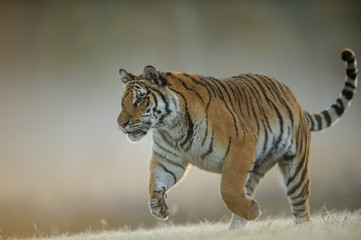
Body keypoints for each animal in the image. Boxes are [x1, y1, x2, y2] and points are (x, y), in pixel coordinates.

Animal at [116, 48, 356, 229]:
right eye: (122, 102)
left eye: (139, 100)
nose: (121, 123)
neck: (170, 126)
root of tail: (293, 96)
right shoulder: (168, 159)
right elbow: (155, 181)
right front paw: (158, 207)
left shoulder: (242, 144)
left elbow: (227, 190)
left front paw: (254, 211)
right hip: (255, 167)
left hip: (294, 166)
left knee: (300, 209)